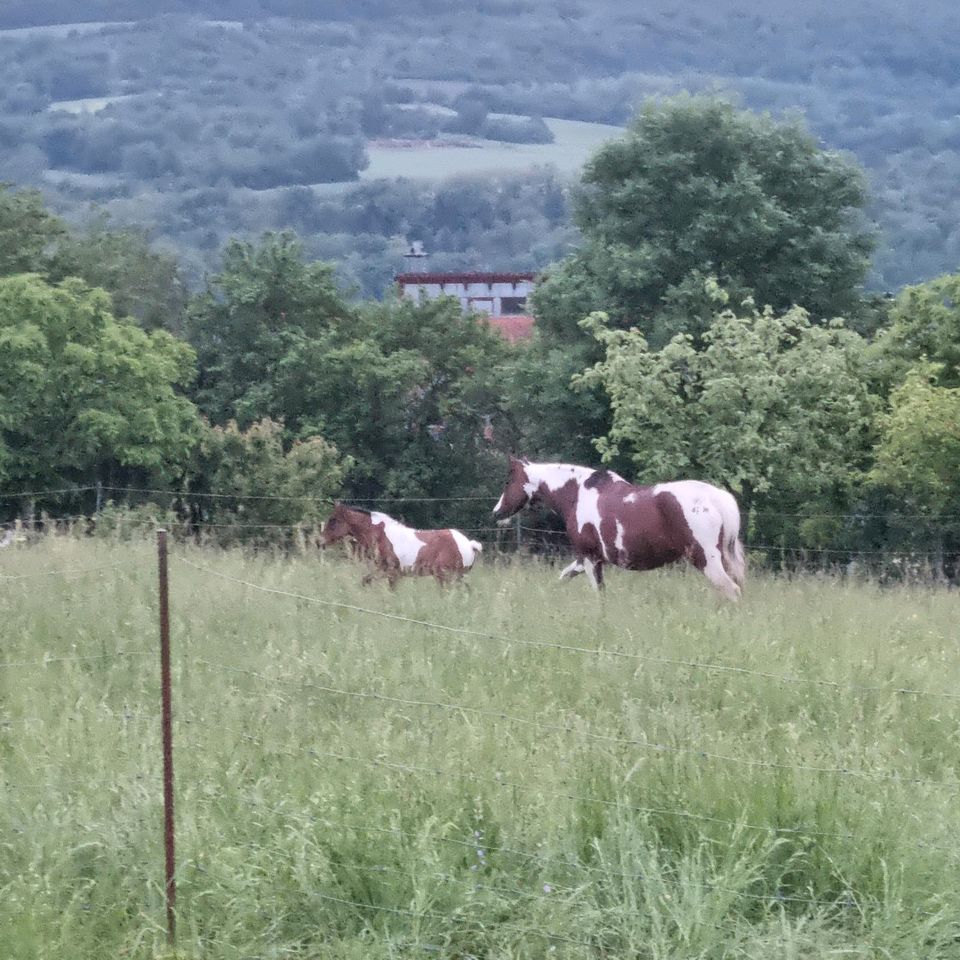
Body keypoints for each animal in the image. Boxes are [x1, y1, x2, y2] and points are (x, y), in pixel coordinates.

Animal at [322, 502, 484, 584]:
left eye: (333, 520)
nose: (321, 541)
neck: (381, 535)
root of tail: (470, 545)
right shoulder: (384, 571)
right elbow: (366, 580)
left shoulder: (393, 573)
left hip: (445, 576)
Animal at [492, 458, 748, 600]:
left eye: (508, 481)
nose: (496, 512)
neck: (577, 494)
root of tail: (718, 498)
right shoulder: (586, 559)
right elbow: (563, 577)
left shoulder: (590, 559)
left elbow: (599, 595)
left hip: (706, 560)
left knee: (731, 590)